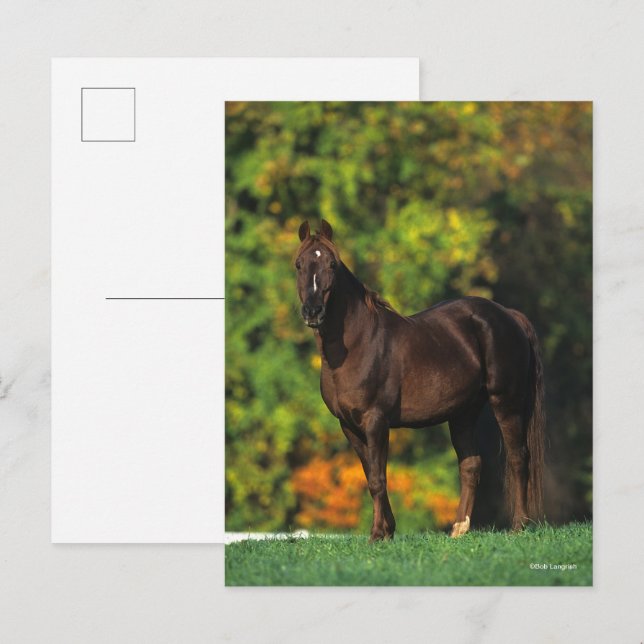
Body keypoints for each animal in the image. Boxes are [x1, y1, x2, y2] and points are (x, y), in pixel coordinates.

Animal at [294, 219, 545, 541]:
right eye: (299, 264)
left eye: (332, 264)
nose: (313, 312)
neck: (358, 344)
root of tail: (508, 315)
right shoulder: (348, 426)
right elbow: (371, 475)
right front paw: (387, 531)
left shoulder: (376, 421)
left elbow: (378, 478)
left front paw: (378, 534)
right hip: (463, 412)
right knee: (470, 465)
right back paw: (458, 529)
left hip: (506, 403)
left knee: (518, 458)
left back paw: (518, 527)